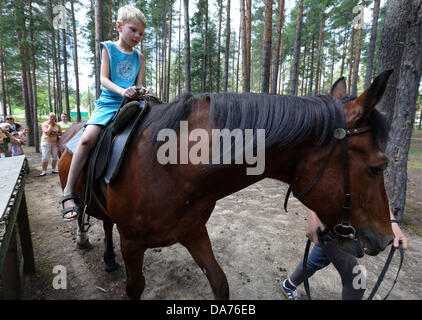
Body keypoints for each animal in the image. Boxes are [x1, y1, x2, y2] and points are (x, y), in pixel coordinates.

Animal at [58, 71, 396, 298]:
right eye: (378, 167)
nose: (388, 238)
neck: (169, 168)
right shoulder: (132, 243)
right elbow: (135, 288)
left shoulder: (194, 233)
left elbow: (220, 283)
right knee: (91, 217)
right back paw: (82, 236)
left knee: (106, 223)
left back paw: (108, 258)